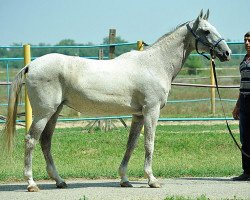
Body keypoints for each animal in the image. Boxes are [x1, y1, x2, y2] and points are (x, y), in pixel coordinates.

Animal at [3, 10, 230, 191]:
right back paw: (31, 183)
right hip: (44, 113)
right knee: (31, 140)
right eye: (206, 31)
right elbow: (149, 143)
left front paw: (124, 179)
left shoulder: (138, 115)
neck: (154, 64)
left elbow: (131, 144)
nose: (226, 53)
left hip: (55, 112)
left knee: (45, 142)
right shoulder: (151, 111)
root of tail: (31, 65)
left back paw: (59, 181)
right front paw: (152, 180)